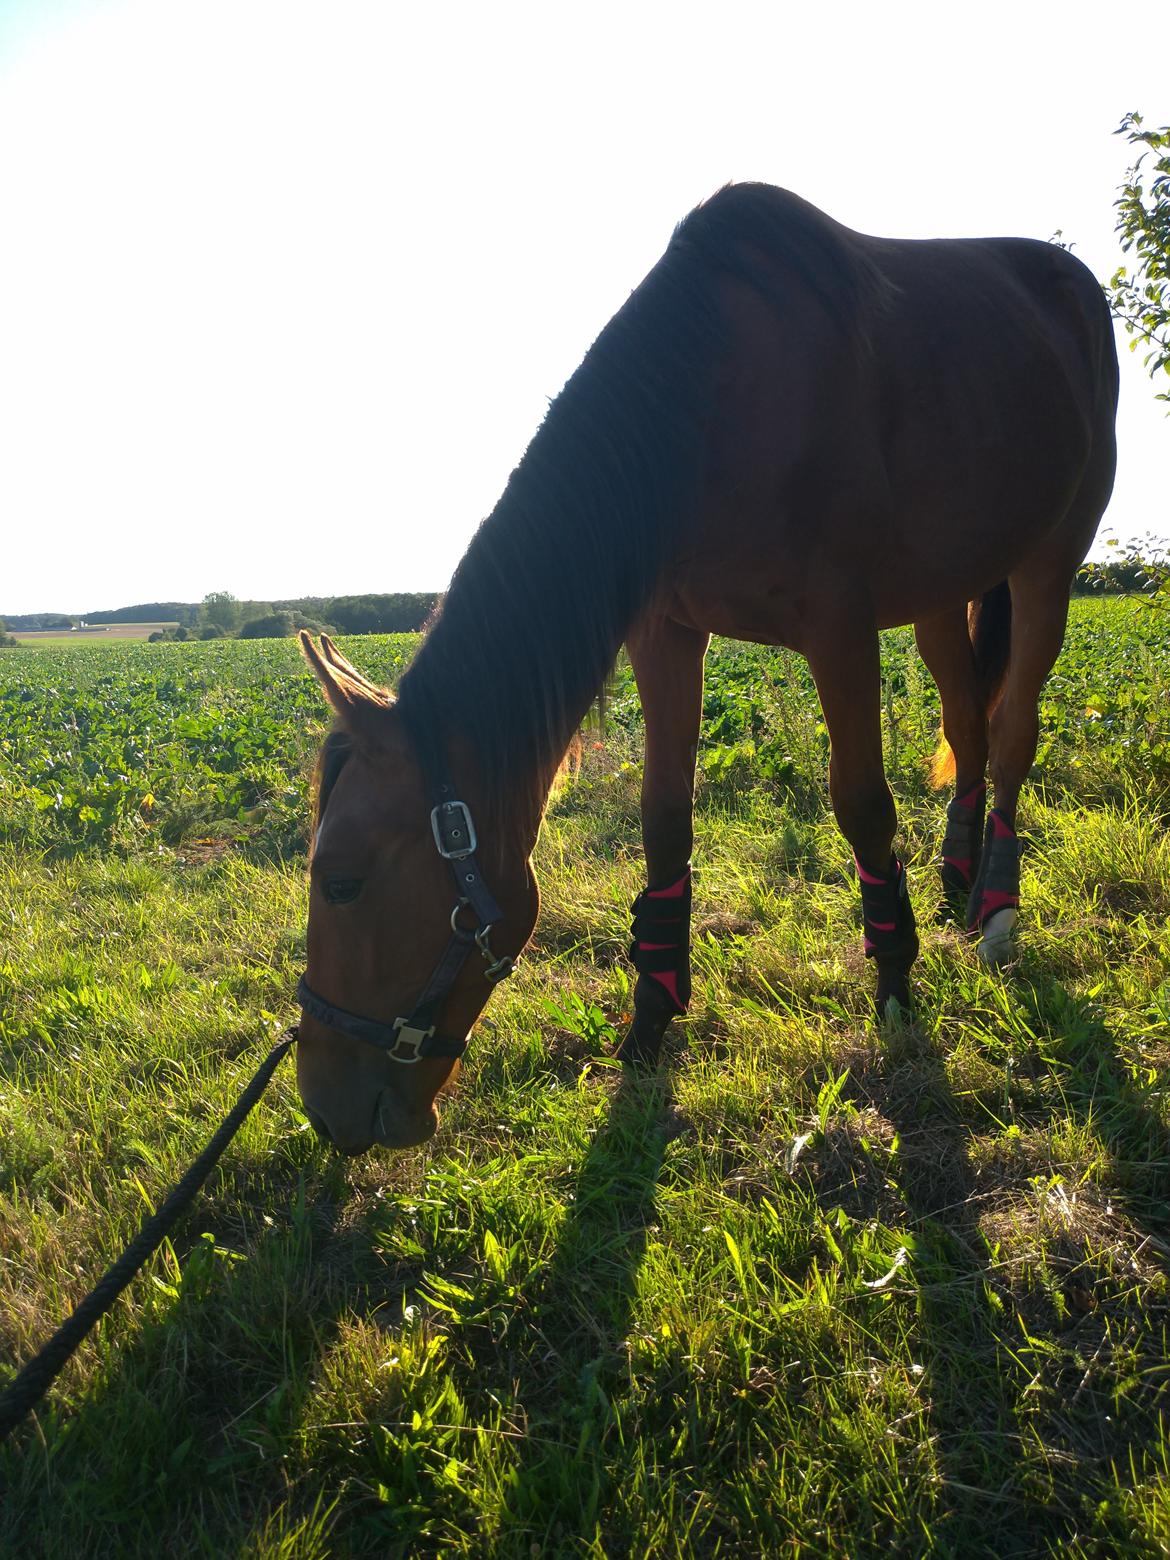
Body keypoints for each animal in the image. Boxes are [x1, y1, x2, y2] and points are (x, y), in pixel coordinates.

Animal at [293, 185, 1116, 1160]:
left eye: (341, 881)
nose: (323, 1107)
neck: (702, 406)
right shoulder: (665, 633)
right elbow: (664, 817)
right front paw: (652, 1011)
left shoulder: (840, 632)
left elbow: (862, 804)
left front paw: (895, 984)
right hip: (940, 595)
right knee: (966, 721)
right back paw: (957, 871)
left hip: (1047, 566)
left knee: (1013, 726)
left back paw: (996, 903)